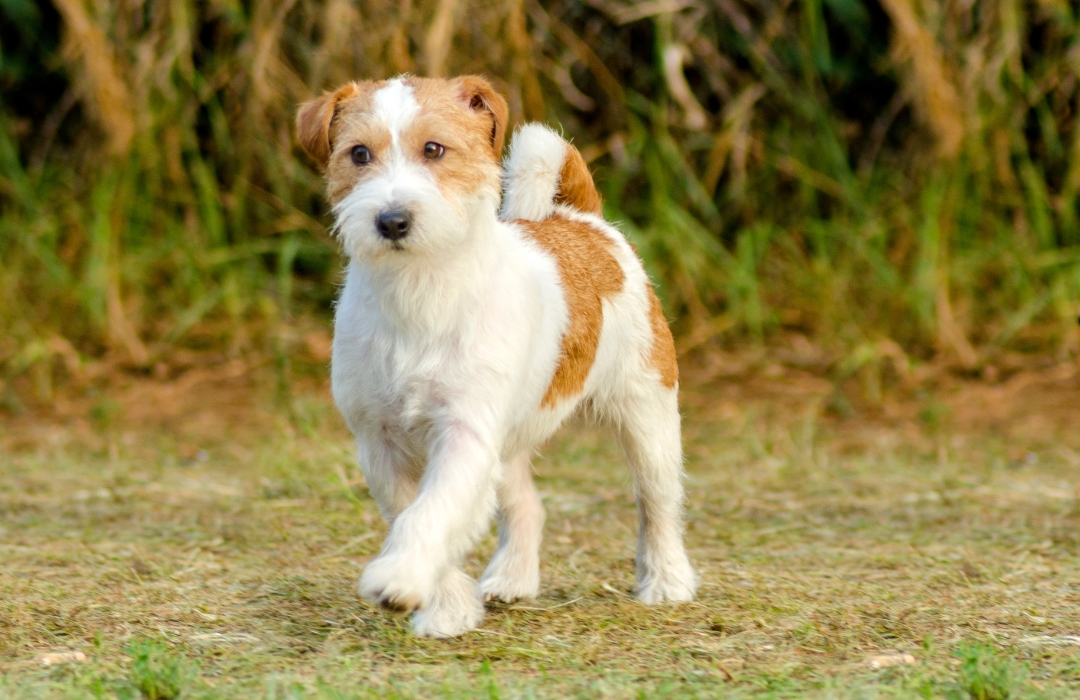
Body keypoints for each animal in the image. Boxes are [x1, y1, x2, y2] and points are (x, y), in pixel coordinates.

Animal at [298, 73, 699, 635]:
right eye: (358, 154)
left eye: (434, 148)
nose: (392, 220)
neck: (419, 292)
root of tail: (581, 219)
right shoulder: (380, 444)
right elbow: (411, 513)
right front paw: (446, 606)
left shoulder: (464, 433)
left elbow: (434, 511)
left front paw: (400, 577)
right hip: (508, 441)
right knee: (527, 505)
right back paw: (512, 577)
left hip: (647, 411)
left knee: (657, 501)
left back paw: (667, 581)